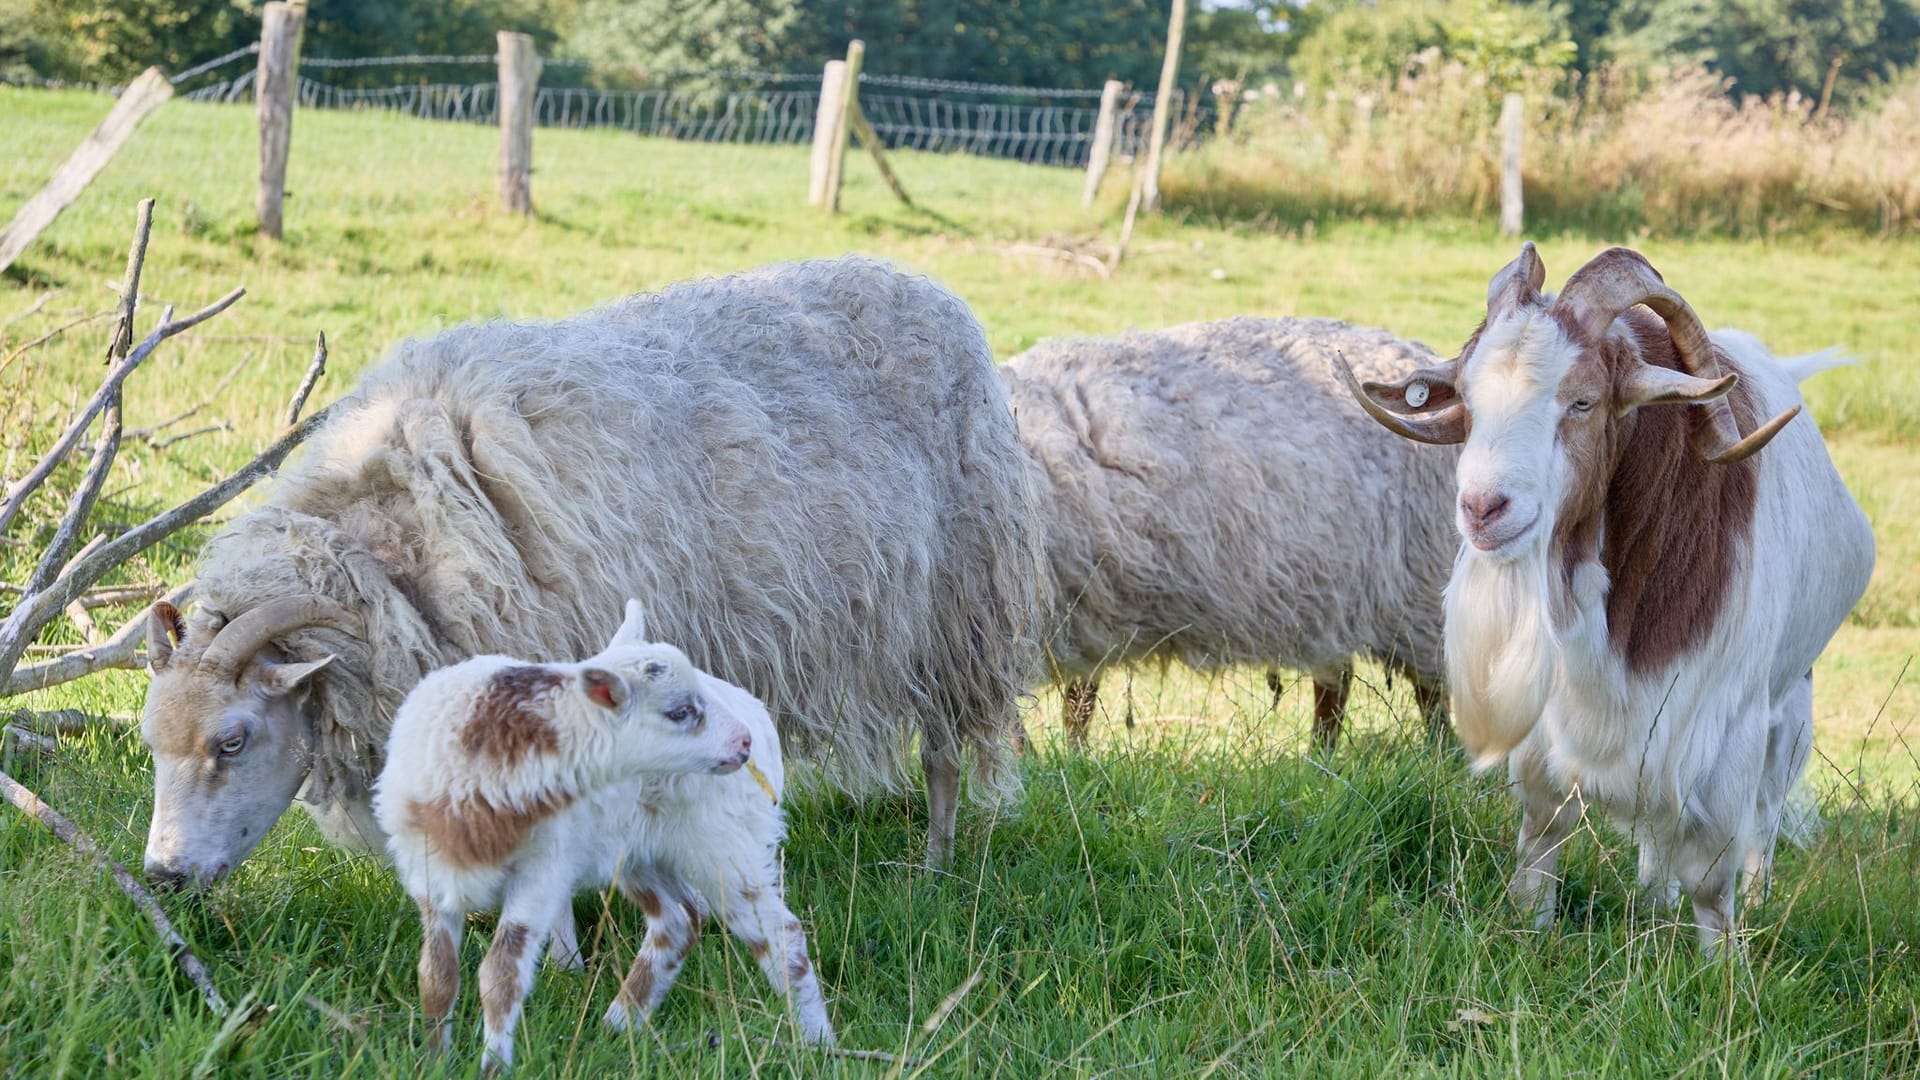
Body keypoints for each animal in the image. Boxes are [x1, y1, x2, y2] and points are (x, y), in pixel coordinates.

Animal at [144, 253, 1052, 899]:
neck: (402, 552)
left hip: (956, 611)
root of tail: (931, 288)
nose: (162, 877)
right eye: (152, 741)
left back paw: (935, 869)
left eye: (233, 739)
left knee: (943, 753)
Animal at [374, 595, 833, 1068]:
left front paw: (492, 1067)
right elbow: (436, 975)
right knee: (679, 920)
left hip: (719, 843)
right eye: (680, 712)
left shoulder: (542, 873)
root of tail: (758, 717)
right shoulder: (430, 876)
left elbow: (501, 973)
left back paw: (818, 1044)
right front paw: (432, 1061)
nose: (741, 743)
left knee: (780, 934)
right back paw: (618, 1025)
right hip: (637, 851)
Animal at [998, 315, 1459, 745]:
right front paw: (1071, 756)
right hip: (1334, 593)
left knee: (1431, 690)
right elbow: (1075, 703)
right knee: (1336, 683)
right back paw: (1320, 758)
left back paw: (1438, 754)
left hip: (1419, 584)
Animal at [1336, 242, 1873, 941]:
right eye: (1469, 403)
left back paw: (1750, 902)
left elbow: (1713, 877)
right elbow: (1544, 830)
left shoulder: (1721, 722)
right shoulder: (1558, 718)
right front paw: (1532, 928)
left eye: (1583, 402)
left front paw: (1723, 962)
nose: (1483, 508)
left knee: (1765, 817)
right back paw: (1654, 904)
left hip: (1791, 703)